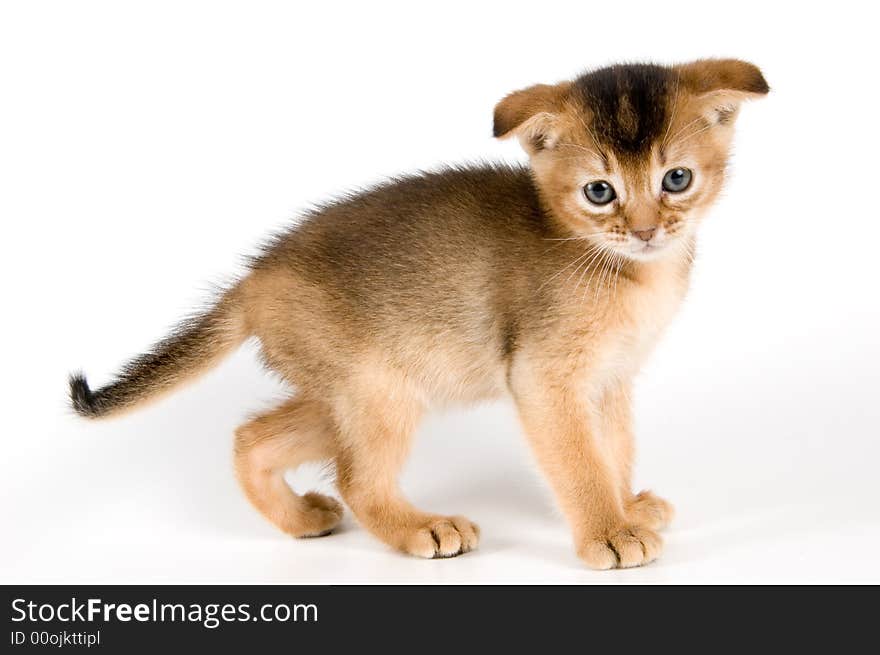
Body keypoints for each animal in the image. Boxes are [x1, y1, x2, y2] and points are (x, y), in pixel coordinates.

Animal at [72, 59, 768, 568]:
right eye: (600, 192)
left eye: (676, 179)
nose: (647, 231)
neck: (624, 270)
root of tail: (256, 277)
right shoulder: (544, 379)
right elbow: (579, 462)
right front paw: (608, 533)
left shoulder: (610, 380)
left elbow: (613, 449)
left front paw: (625, 507)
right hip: (378, 393)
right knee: (357, 480)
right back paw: (421, 529)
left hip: (352, 394)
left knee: (252, 436)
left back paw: (299, 519)